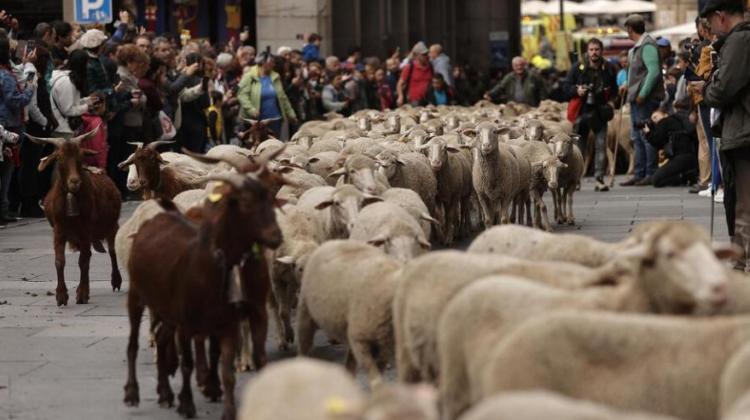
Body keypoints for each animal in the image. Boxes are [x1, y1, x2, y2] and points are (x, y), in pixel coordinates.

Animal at [27, 126, 122, 306]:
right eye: (60, 158)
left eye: (80, 157)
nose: (74, 182)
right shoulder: (58, 230)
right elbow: (60, 261)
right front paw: (61, 295)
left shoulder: (86, 230)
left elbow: (83, 260)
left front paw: (82, 294)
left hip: (112, 226)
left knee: (112, 251)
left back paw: (116, 281)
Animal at [272, 203, 328, 352]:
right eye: (300, 268)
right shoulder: (277, 280)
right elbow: (283, 312)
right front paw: (289, 335)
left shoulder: (293, 282)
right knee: (273, 308)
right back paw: (281, 340)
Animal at [296, 241, 406, 386]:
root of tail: (331, 242)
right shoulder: (359, 341)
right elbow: (375, 379)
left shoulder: (385, 348)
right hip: (305, 313)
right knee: (303, 347)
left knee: (349, 365)